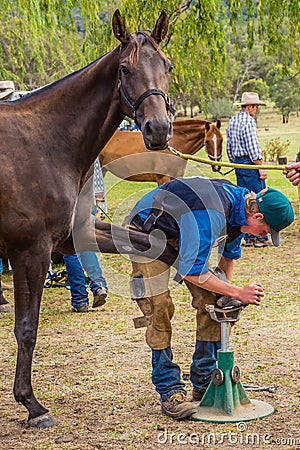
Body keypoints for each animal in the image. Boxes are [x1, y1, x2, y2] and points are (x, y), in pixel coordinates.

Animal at [0, 8, 177, 428]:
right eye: (125, 68)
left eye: (167, 65)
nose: (158, 130)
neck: (48, 141)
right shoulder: (30, 252)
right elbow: (27, 328)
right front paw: (31, 404)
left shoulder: (75, 235)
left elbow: (155, 246)